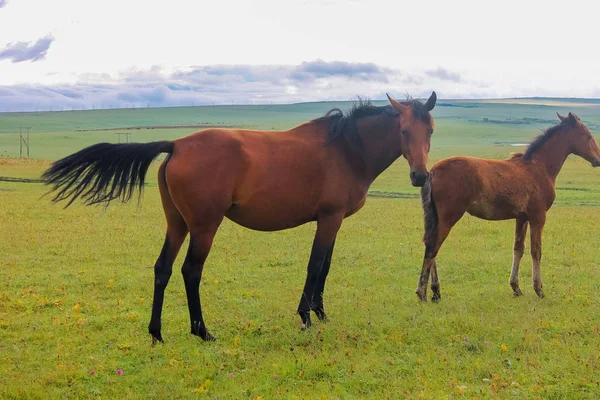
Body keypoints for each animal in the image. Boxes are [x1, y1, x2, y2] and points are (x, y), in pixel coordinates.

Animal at [42, 92, 436, 342]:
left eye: (430, 130)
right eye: (403, 130)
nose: (420, 176)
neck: (345, 149)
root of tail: (178, 145)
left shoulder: (334, 222)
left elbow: (325, 266)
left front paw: (321, 313)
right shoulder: (329, 219)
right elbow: (315, 265)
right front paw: (306, 316)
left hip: (177, 224)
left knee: (162, 269)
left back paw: (156, 333)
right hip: (204, 227)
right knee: (190, 271)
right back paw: (202, 331)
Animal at [418, 111, 600, 302]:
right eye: (588, 136)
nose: (598, 159)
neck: (539, 168)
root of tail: (432, 171)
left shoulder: (522, 217)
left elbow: (518, 248)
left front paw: (516, 287)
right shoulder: (538, 216)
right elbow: (536, 250)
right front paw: (539, 289)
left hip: (437, 217)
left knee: (431, 244)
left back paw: (435, 292)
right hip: (449, 216)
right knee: (433, 247)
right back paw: (422, 292)